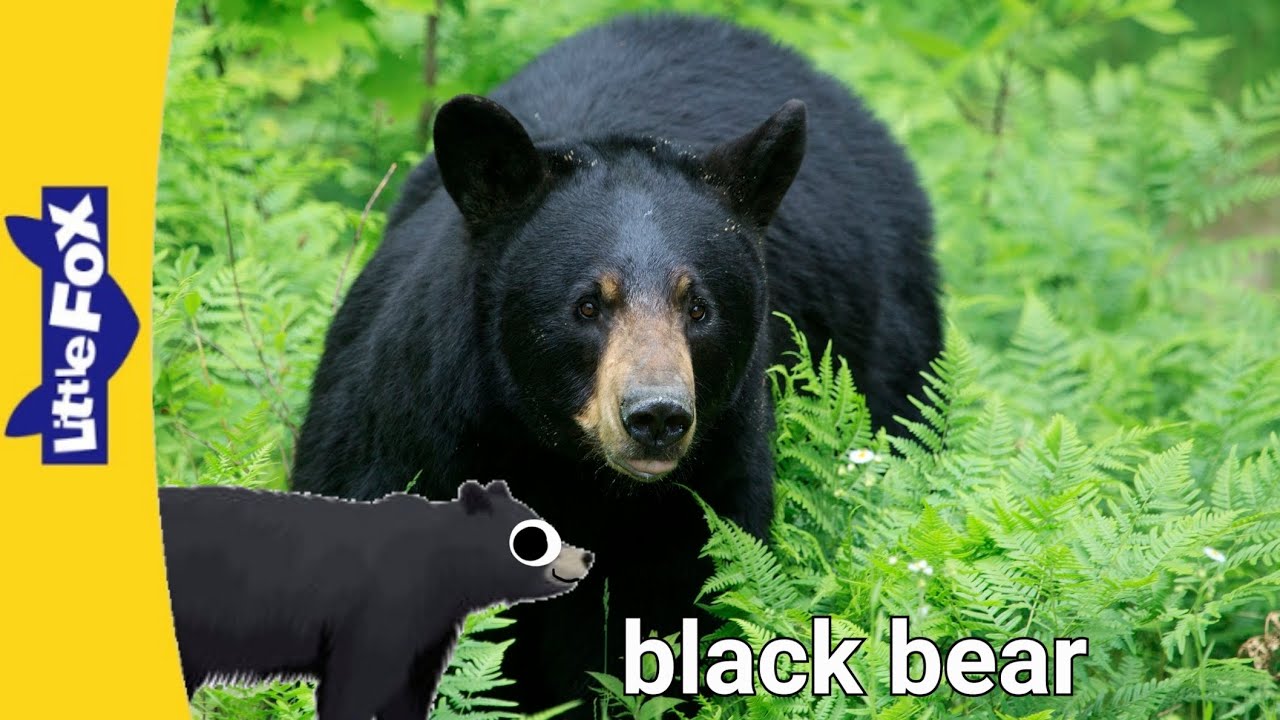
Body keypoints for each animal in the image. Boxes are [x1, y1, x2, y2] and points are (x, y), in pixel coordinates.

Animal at [160, 480, 591, 720]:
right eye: (534, 538)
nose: (586, 556)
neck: (441, 568)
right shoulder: (380, 608)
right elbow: (354, 685)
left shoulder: (427, 628)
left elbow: (408, 691)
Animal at [292, 13, 940, 714]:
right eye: (586, 305)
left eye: (699, 307)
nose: (656, 416)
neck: (572, 477)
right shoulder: (405, 437)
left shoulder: (711, 495)